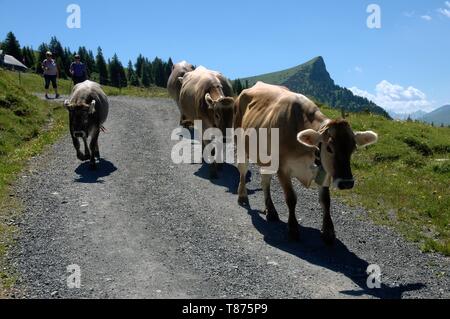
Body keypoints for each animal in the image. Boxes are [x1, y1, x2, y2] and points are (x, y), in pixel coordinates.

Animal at [234, 82, 378, 245]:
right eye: (329, 148)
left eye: (353, 148)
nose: (346, 183)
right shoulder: (283, 168)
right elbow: (291, 198)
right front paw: (293, 228)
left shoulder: (324, 171)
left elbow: (325, 201)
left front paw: (328, 232)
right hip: (241, 146)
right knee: (243, 171)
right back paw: (243, 197)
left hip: (267, 159)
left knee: (265, 181)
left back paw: (270, 210)